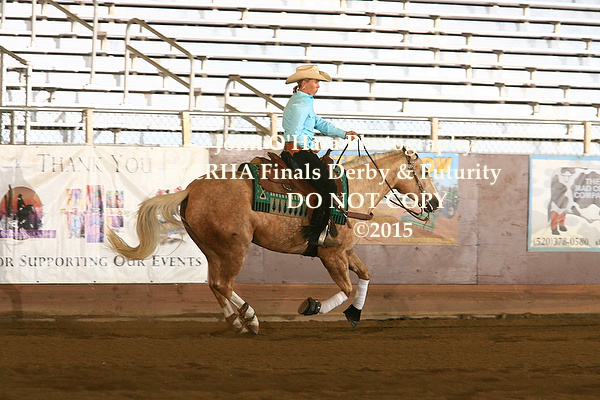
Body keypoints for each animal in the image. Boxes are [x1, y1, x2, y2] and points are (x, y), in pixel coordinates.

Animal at [107, 147, 440, 334]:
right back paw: (251, 318)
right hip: (235, 248)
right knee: (223, 284)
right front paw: (312, 307)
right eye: (424, 170)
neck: (350, 192)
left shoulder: (345, 251)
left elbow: (366, 276)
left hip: (212, 249)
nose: (435, 203)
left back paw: (236, 321)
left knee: (214, 284)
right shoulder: (331, 254)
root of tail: (190, 190)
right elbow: (346, 288)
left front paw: (355, 315)